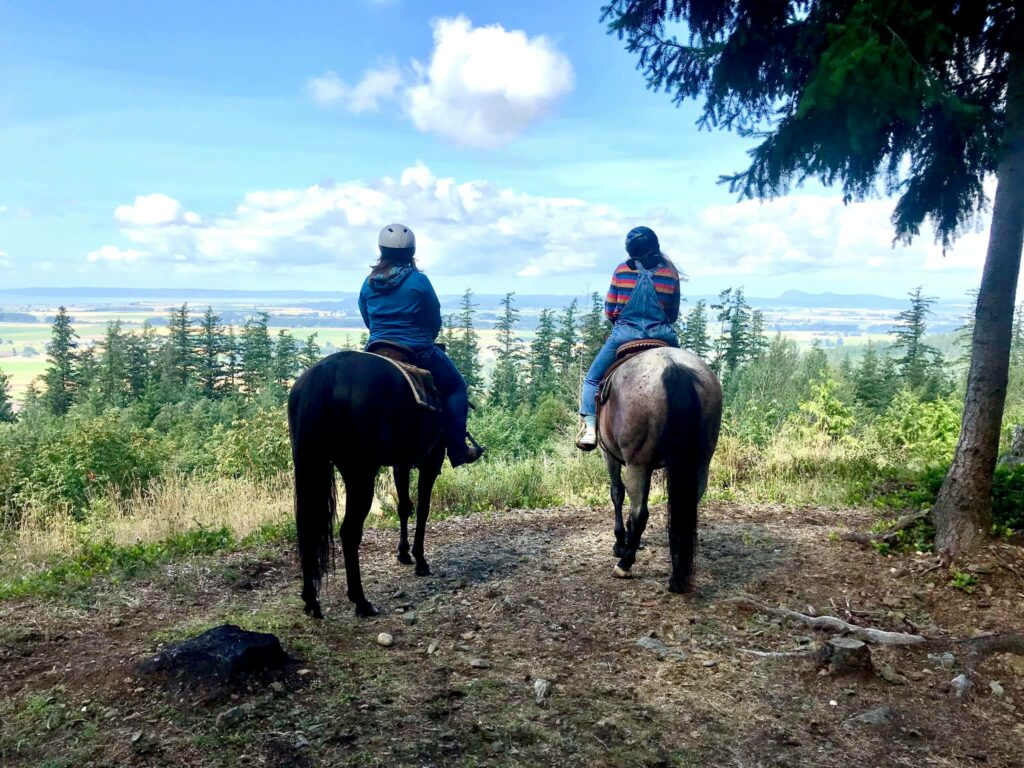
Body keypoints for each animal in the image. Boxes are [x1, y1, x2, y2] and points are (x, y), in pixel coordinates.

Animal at [288, 350, 445, 618]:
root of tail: (325, 372)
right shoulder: (430, 463)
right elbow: (422, 509)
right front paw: (420, 560)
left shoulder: (401, 464)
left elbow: (404, 507)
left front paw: (404, 553)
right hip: (360, 473)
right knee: (349, 532)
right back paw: (361, 601)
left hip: (310, 465)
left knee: (308, 529)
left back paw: (311, 601)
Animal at [597, 346, 722, 593]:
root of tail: (673, 366)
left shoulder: (610, 456)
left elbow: (617, 494)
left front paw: (620, 542)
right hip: (700, 462)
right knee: (683, 512)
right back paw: (677, 577)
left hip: (638, 463)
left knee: (640, 513)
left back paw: (624, 564)